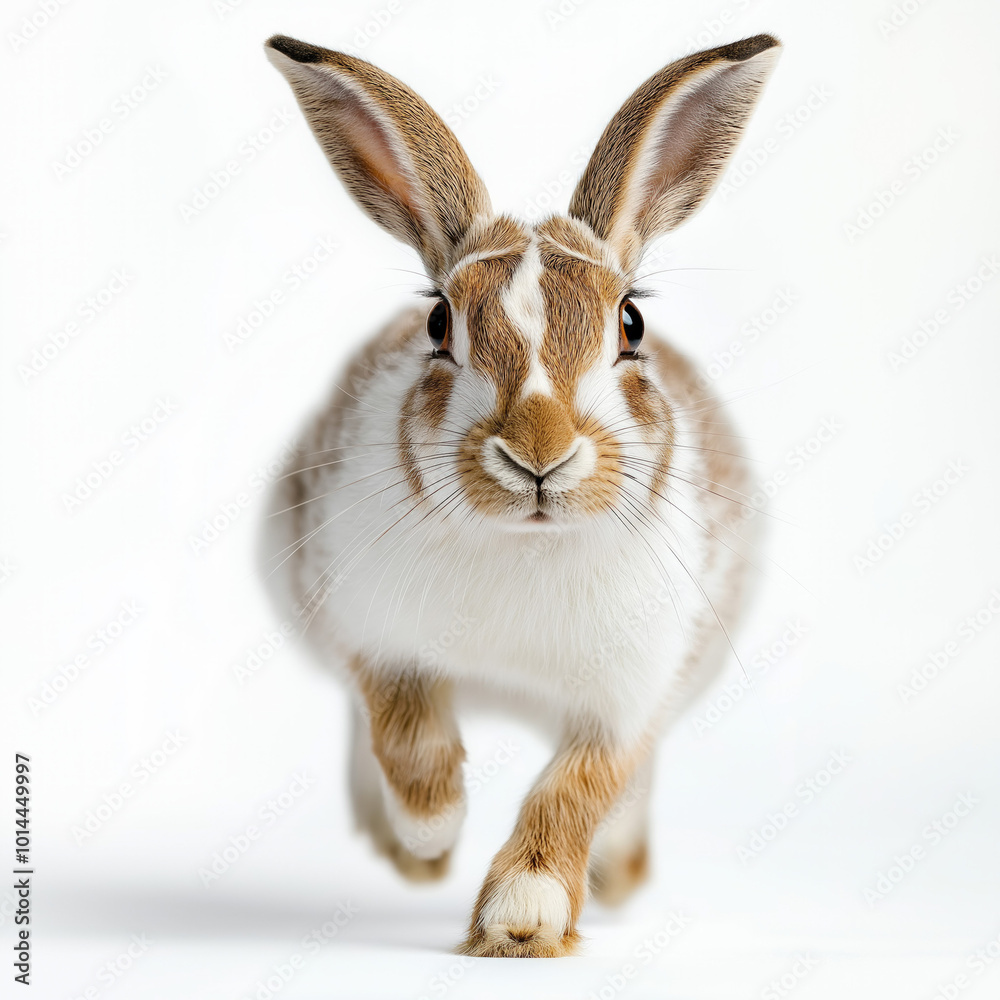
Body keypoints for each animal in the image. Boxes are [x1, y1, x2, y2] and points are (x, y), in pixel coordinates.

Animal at [262, 31, 781, 957]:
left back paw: (620, 871)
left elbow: (577, 786)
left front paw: (520, 921)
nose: (539, 455)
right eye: (440, 323)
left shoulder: (630, 697)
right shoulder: (374, 638)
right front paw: (431, 840)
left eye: (631, 325)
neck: (527, 542)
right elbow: (410, 746)